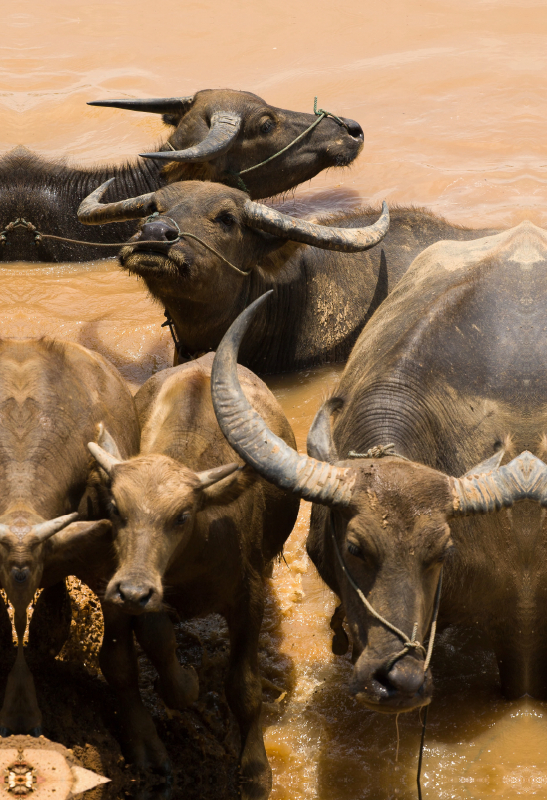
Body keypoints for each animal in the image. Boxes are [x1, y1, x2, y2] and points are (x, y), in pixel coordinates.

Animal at [87, 354, 300, 796]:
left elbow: (244, 687)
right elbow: (148, 646)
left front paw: (256, 770)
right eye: (115, 507)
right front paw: (184, 686)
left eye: (182, 516)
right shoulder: (131, 591)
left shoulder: (248, 597)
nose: (132, 589)